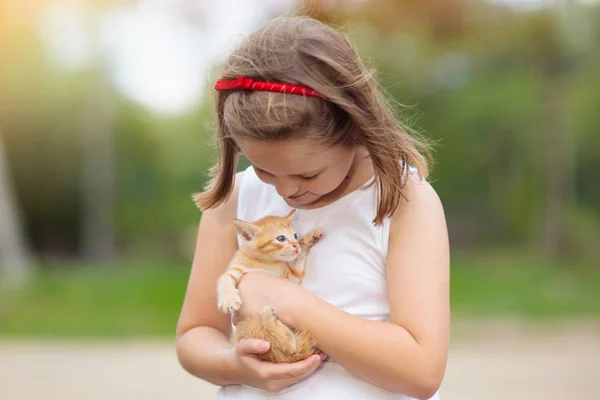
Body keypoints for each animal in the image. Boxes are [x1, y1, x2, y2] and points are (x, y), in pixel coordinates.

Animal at [217, 211, 324, 364]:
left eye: (295, 235)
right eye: (281, 238)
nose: (296, 246)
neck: (266, 262)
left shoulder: (291, 279)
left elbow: (297, 259)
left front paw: (309, 238)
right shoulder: (236, 268)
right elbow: (225, 278)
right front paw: (228, 300)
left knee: (292, 349)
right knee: (289, 348)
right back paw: (272, 320)